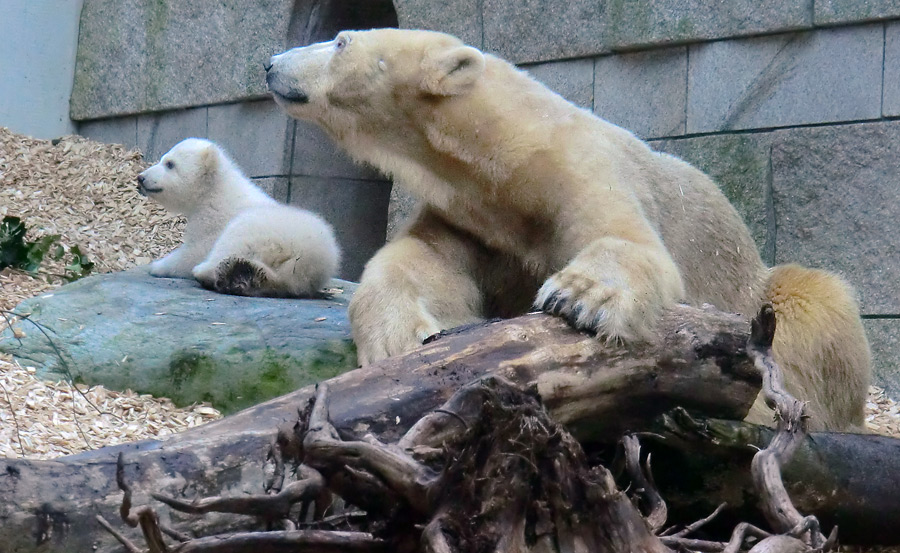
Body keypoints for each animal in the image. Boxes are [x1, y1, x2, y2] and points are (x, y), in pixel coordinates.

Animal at [264, 28, 868, 430]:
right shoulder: (472, 218)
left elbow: (632, 241)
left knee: (817, 307)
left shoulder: (582, 170)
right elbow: (424, 263)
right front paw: (400, 336)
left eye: (340, 41)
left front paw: (579, 297)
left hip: (761, 292)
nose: (270, 62)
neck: (506, 161)